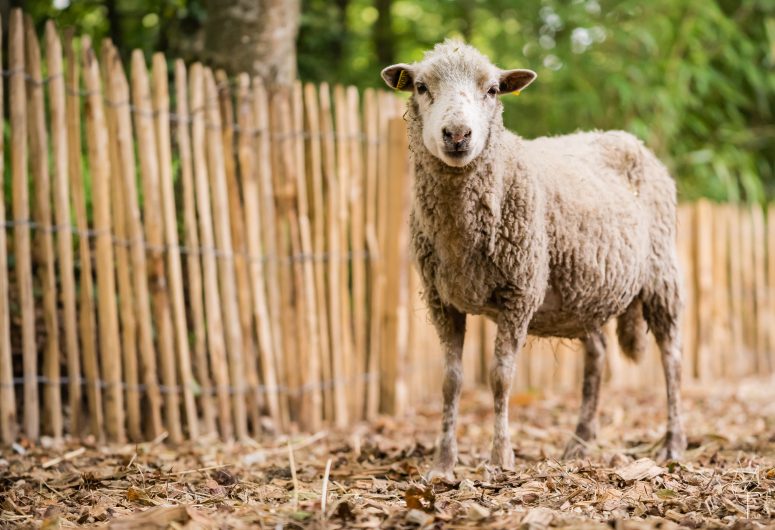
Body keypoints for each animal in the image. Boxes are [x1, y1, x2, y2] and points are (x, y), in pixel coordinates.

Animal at [380, 41, 684, 478]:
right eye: (421, 87)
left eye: (492, 90)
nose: (457, 134)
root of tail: (628, 139)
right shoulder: (441, 299)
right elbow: (451, 380)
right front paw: (442, 464)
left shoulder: (519, 291)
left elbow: (501, 377)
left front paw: (500, 458)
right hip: (583, 291)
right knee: (597, 359)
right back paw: (579, 443)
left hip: (662, 274)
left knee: (672, 358)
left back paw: (673, 444)